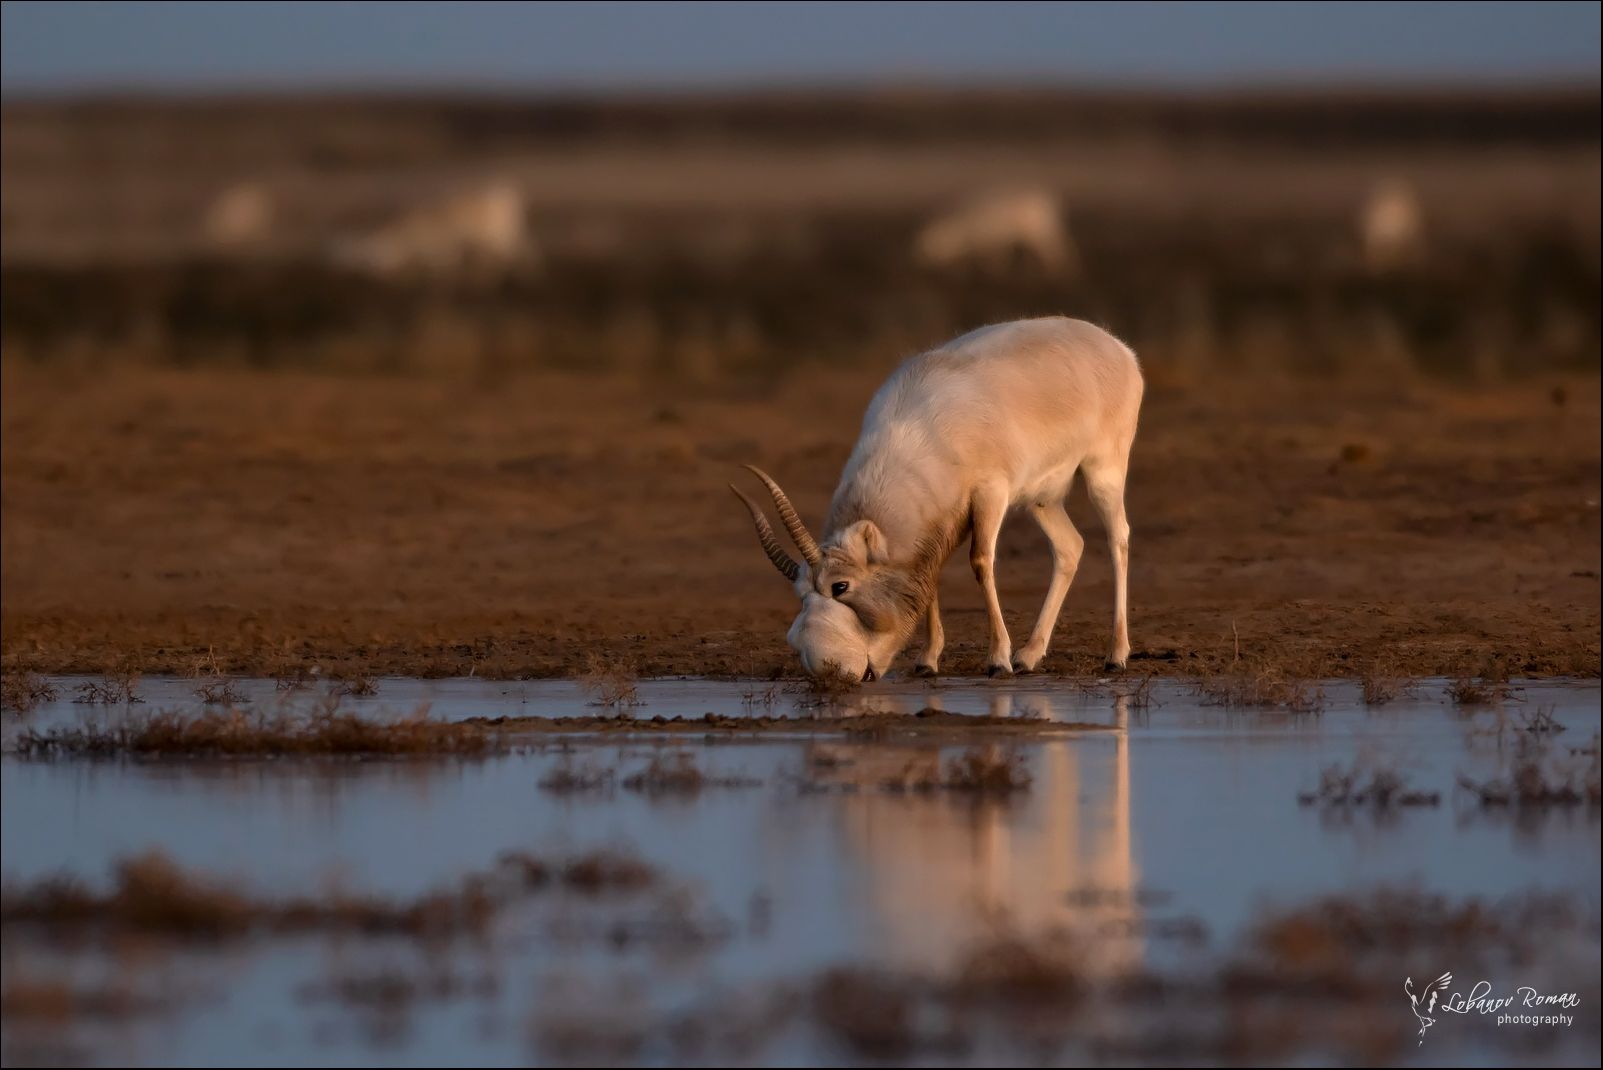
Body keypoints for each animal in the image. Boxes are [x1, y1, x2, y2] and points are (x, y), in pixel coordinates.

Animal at [734, 316, 1147, 676]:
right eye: (801, 592)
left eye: (840, 586)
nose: (827, 668)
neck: (920, 428)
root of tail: (1118, 349)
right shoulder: (939, 519)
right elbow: (931, 574)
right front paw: (928, 661)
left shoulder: (989, 492)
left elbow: (981, 561)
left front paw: (998, 660)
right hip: (1042, 498)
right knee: (1070, 546)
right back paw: (1029, 655)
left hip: (1103, 470)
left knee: (1118, 538)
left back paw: (1116, 655)